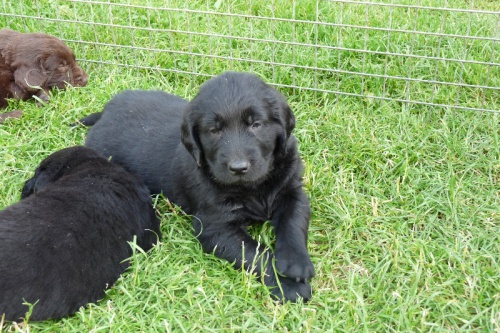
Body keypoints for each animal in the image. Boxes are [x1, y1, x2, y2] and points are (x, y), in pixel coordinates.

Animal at [81, 71, 314, 302]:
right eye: (214, 130)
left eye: (256, 124)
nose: (238, 168)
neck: (253, 186)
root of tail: (106, 112)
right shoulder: (216, 227)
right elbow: (255, 253)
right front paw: (287, 285)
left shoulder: (292, 190)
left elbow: (293, 222)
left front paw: (296, 263)